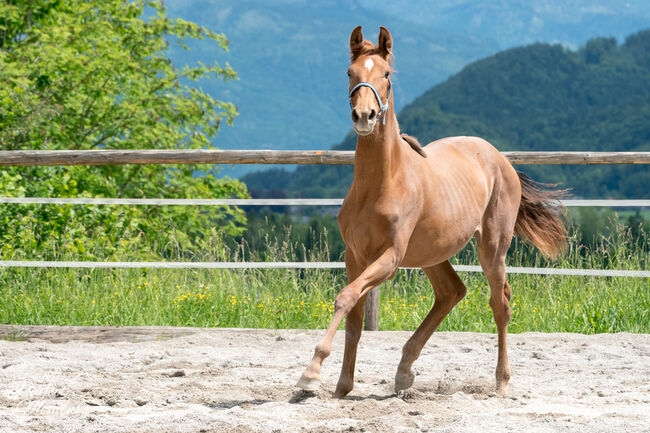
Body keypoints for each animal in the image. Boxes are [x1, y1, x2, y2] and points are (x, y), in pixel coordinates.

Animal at [297, 26, 567, 398]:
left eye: (386, 75)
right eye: (350, 73)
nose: (364, 116)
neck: (381, 184)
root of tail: (499, 158)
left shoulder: (390, 258)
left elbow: (346, 297)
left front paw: (311, 373)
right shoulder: (355, 256)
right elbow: (353, 317)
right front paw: (341, 387)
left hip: (492, 249)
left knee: (499, 304)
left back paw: (500, 381)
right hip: (432, 253)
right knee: (452, 292)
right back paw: (404, 372)